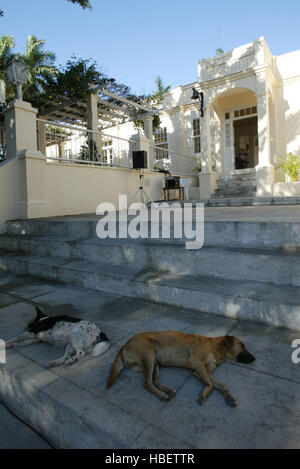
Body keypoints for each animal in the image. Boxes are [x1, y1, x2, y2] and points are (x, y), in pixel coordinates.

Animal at [106, 330, 254, 406]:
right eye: (242, 345)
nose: (254, 358)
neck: (216, 347)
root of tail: (125, 344)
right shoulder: (196, 362)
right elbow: (212, 384)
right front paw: (204, 394)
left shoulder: (199, 371)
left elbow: (219, 384)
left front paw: (228, 396)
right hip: (148, 353)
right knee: (146, 382)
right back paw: (162, 395)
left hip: (155, 362)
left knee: (155, 380)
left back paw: (167, 390)